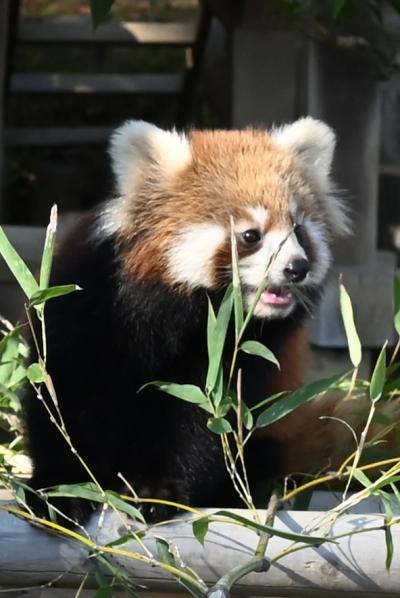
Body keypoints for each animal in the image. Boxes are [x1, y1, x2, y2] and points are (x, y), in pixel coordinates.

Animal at [25, 118, 356, 524]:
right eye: (251, 235)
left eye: (298, 231)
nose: (297, 267)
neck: (177, 314)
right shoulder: (85, 303)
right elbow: (62, 393)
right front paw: (60, 491)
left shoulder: (233, 357)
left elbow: (203, 422)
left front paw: (157, 491)